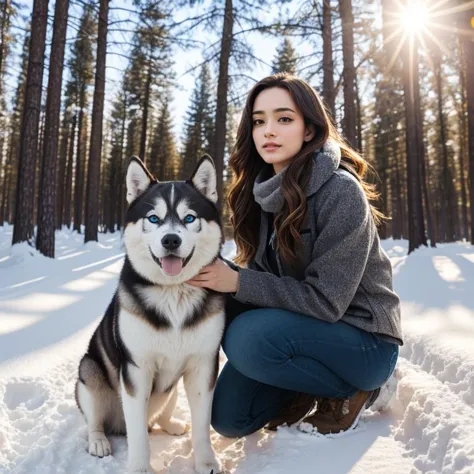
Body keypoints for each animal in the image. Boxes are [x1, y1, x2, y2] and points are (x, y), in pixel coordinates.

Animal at [75, 156, 226, 474]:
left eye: (189, 218)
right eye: (153, 219)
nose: (170, 240)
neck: (173, 292)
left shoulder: (203, 363)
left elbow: (202, 424)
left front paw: (206, 461)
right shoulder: (136, 368)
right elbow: (137, 435)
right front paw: (139, 468)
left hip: (171, 389)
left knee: (161, 416)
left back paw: (172, 425)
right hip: (89, 372)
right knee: (98, 419)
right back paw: (99, 441)